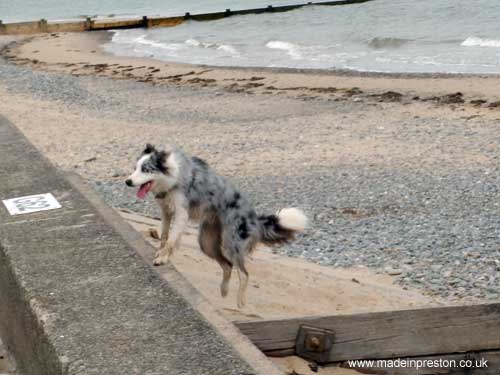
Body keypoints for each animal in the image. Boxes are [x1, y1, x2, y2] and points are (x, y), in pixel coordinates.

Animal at [125, 145, 306, 308]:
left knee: (244, 273)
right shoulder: (166, 211)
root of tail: (253, 217)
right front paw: (160, 252)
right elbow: (164, 235)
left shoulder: (181, 213)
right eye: (135, 168)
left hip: (231, 243)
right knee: (228, 266)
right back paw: (224, 291)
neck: (172, 176)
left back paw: (240, 302)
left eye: (146, 169)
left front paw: (162, 258)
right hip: (207, 242)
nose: (127, 181)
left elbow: (171, 239)